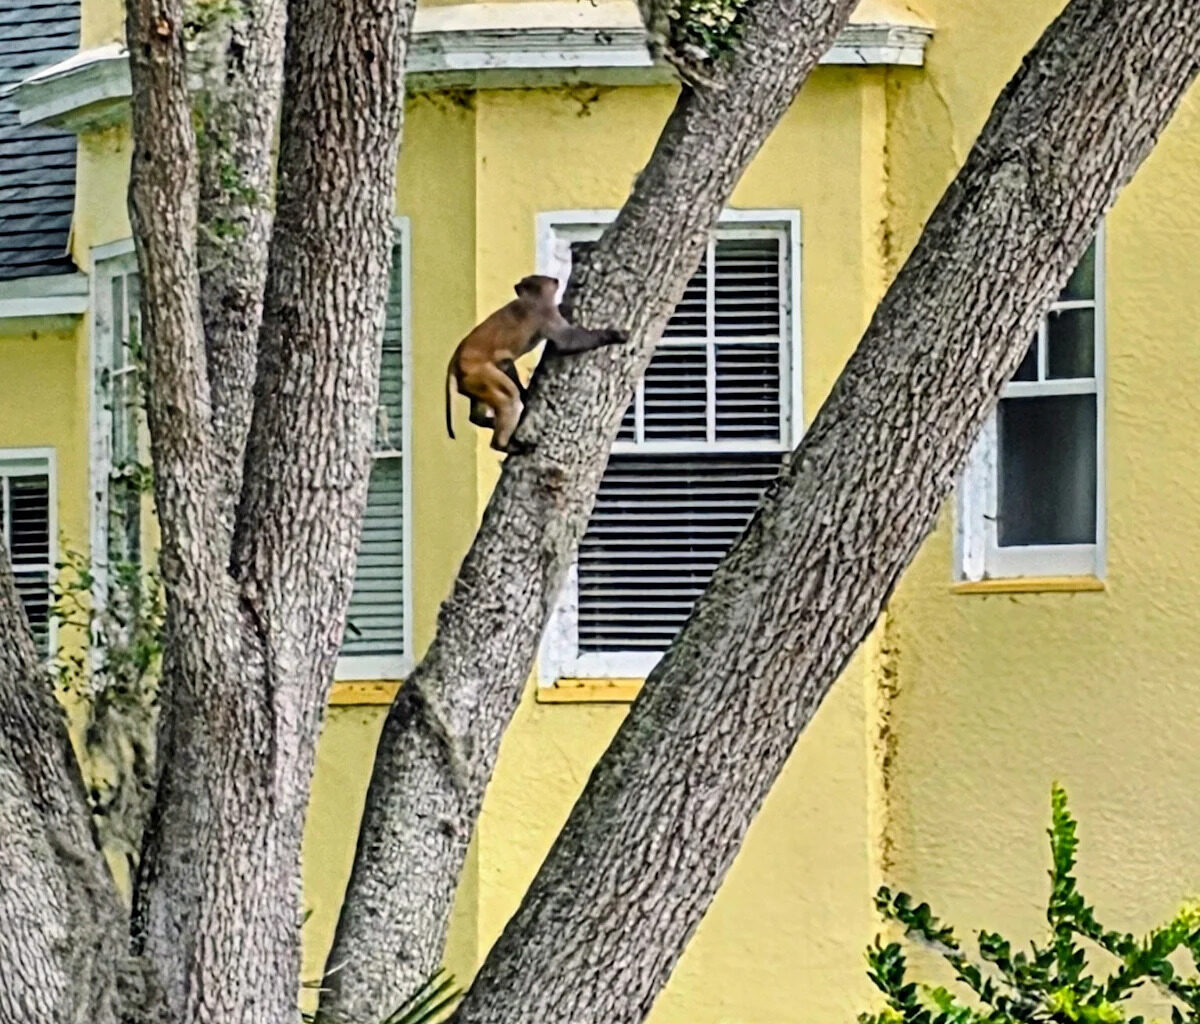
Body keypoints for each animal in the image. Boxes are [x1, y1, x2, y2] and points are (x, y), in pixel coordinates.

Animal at [445, 274, 626, 452]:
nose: (556, 281)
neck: (532, 296)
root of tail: (455, 360)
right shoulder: (547, 314)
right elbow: (567, 342)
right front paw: (615, 335)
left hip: (474, 380)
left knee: (477, 414)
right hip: (480, 373)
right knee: (509, 398)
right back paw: (504, 444)